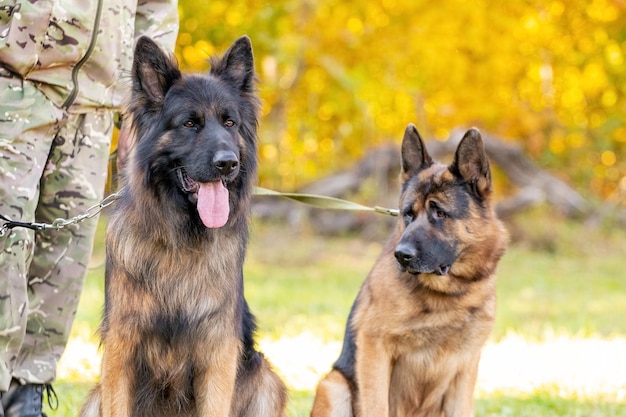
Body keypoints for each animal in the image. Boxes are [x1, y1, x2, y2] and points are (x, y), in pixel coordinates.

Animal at [80, 35, 288, 416]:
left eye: (230, 123)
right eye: (189, 124)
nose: (227, 163)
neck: (180, 241)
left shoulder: (217, 354)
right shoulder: (121, 350)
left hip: (266, 378)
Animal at [310, 124, 504, 416]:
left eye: (440, 213)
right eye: (408, 214)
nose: (401, 255)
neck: (448, 296)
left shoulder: (465, 367)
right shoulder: (374, 349)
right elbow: (376, 407)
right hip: (333, 385)